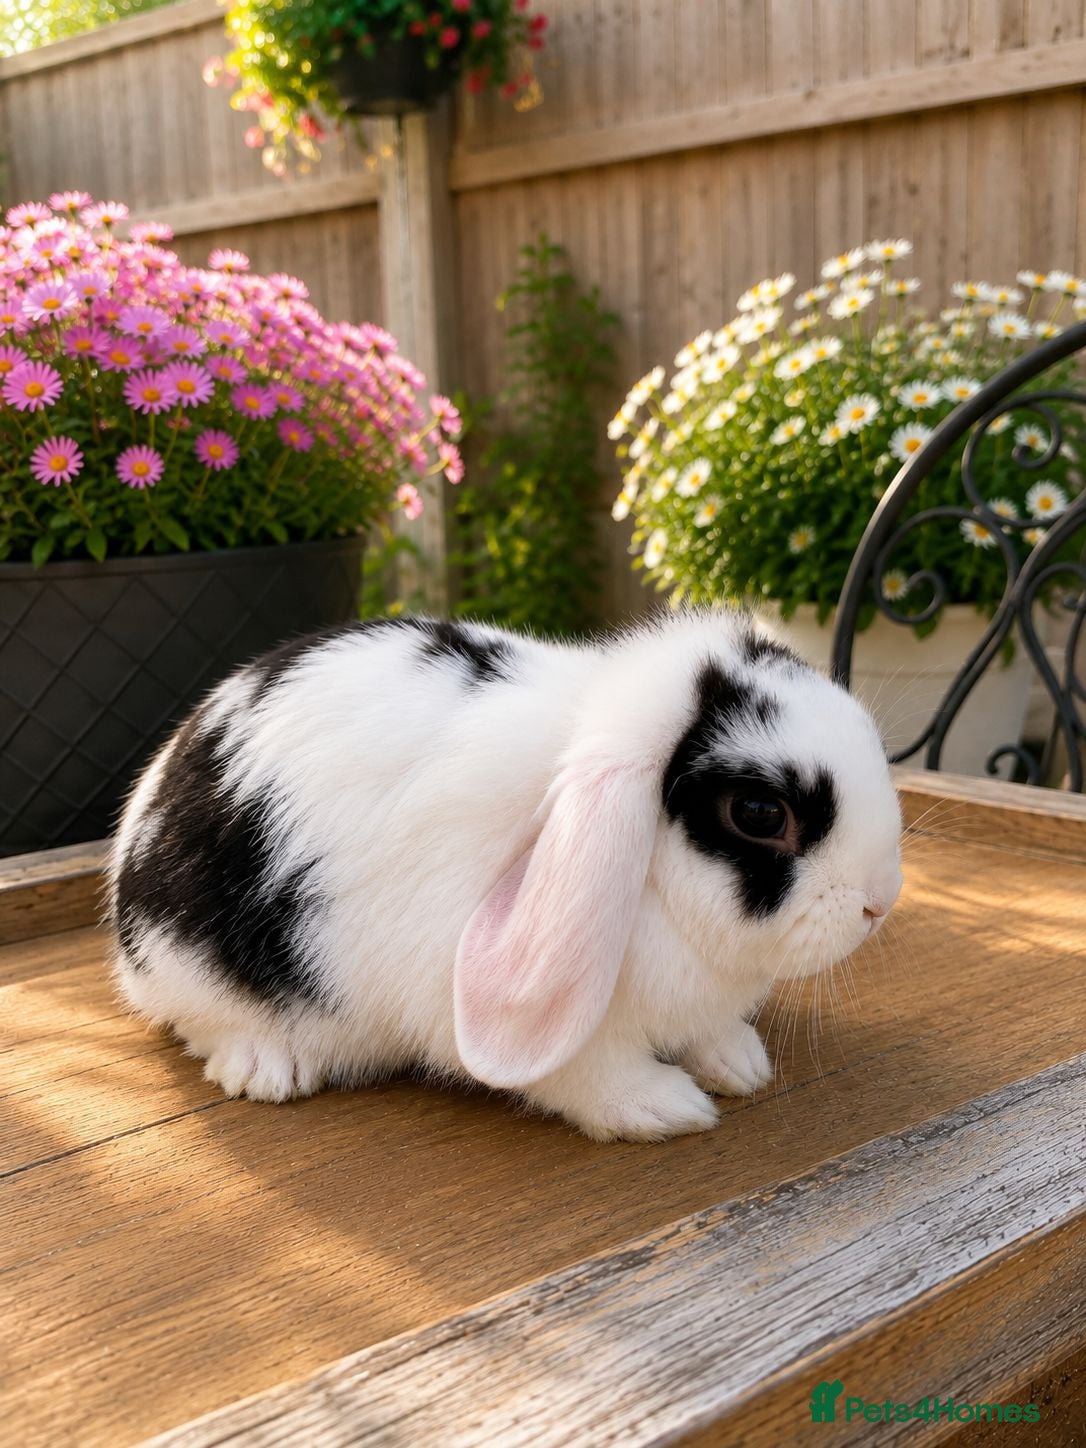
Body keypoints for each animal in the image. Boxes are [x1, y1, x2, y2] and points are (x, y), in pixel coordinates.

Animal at [110, 609, 903, 1142]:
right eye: (761, 813)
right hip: (190, 961)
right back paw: (268, 1068)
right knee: (199, 1020)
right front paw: (665, 1107)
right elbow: (586, 1073)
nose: (881, 901)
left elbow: (707, 1032)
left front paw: (740, 1064)